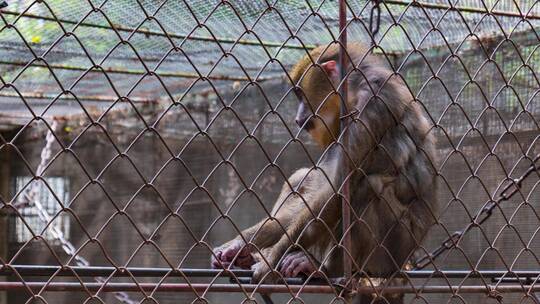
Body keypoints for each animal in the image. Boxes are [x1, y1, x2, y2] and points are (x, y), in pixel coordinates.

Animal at [211, 42, 438, 302]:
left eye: (301, 95)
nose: (298, 118)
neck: (355, 86)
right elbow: (319, 190)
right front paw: (239, 247)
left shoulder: (371, 104)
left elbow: (336, 190)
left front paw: (268, 264)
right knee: (303, 177)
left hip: (393, 251)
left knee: (370, 186)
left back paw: (327, 269)